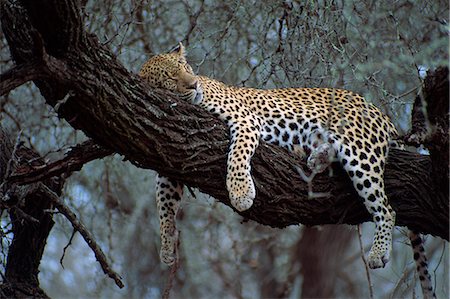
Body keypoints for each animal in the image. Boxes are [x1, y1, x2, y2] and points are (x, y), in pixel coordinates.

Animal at [139, 43, 434, 298]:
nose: (194, 84)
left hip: (360, 150)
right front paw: (166, 245)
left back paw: (378, 252)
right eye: (170, 77)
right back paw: (316, 157)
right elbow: (163, 202)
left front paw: (241, 192)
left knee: (386, 208)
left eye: (186, 66)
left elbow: (237, 156)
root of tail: (379, 112)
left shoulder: (245, 121)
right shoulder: (169, 157)